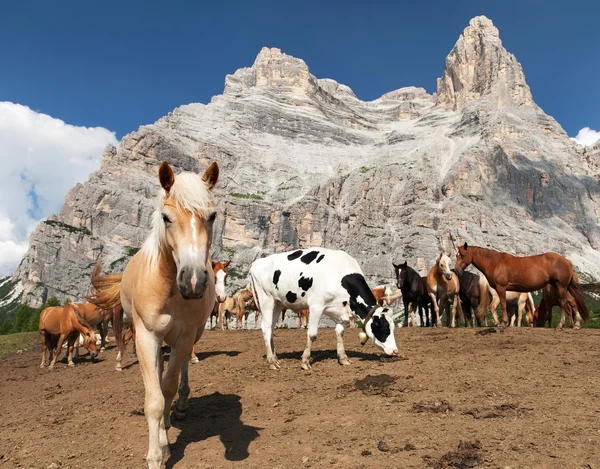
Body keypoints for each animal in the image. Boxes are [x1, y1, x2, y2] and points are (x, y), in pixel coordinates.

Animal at [88, 161, 219, 468]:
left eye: (212, 216)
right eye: (166, 217)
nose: (193, 281)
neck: (168, 288)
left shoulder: (184, 338)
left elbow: (168, 388)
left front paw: (165, 437)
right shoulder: (147, 338)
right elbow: (154, 399)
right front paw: (157, 453)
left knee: (181, 372)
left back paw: (180, 408)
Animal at [248, 247, 398, 368]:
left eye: (392, 328)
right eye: (384, 328)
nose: (395, 351)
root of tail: (256, 263)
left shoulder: (339, 310)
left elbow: (340, 332)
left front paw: (343, 358)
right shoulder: (316, 305)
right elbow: (312, 334)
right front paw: (305, 361)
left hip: (278, 303)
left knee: (272, 327)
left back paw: (275, 358)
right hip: (266, 299)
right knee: (266, 327)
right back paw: (271, 362)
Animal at [454, 243, 592, 328]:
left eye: (463, 255)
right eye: (456, 255)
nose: (456, 270)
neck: (496, 263)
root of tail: (566, 261)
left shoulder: (501, 288)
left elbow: (503, 305)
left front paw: (503, 323)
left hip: (561, 287)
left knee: (564, 303)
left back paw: (561, 325)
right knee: (571, 303)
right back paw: (576, 324)